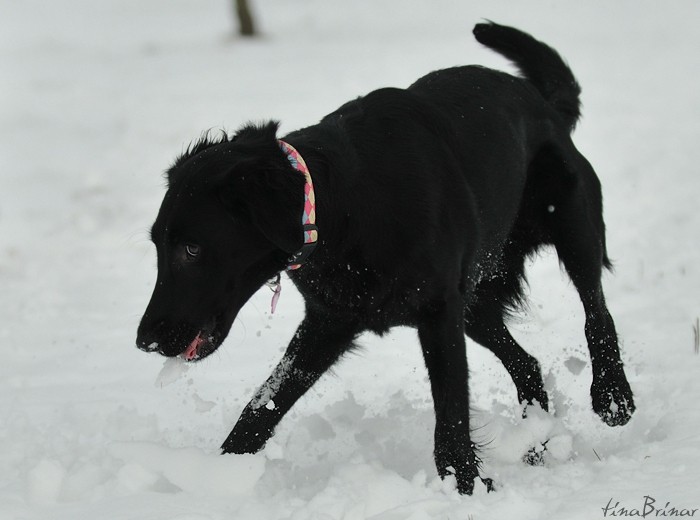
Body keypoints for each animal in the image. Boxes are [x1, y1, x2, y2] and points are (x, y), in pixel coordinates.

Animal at [135, 22, 636, 494]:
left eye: (191, 249)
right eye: (157, 244)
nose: (145, 341)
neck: (345, 205)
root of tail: (544, 103)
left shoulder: (437, 312)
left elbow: (451, 418)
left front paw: (463, 489)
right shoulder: (330, 320)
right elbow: (260, 408)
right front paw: (215, 479)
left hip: (571, 229)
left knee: (596, 310)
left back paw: (613, 395)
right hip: (474, 299)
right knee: (527, 364)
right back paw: (537, 443)